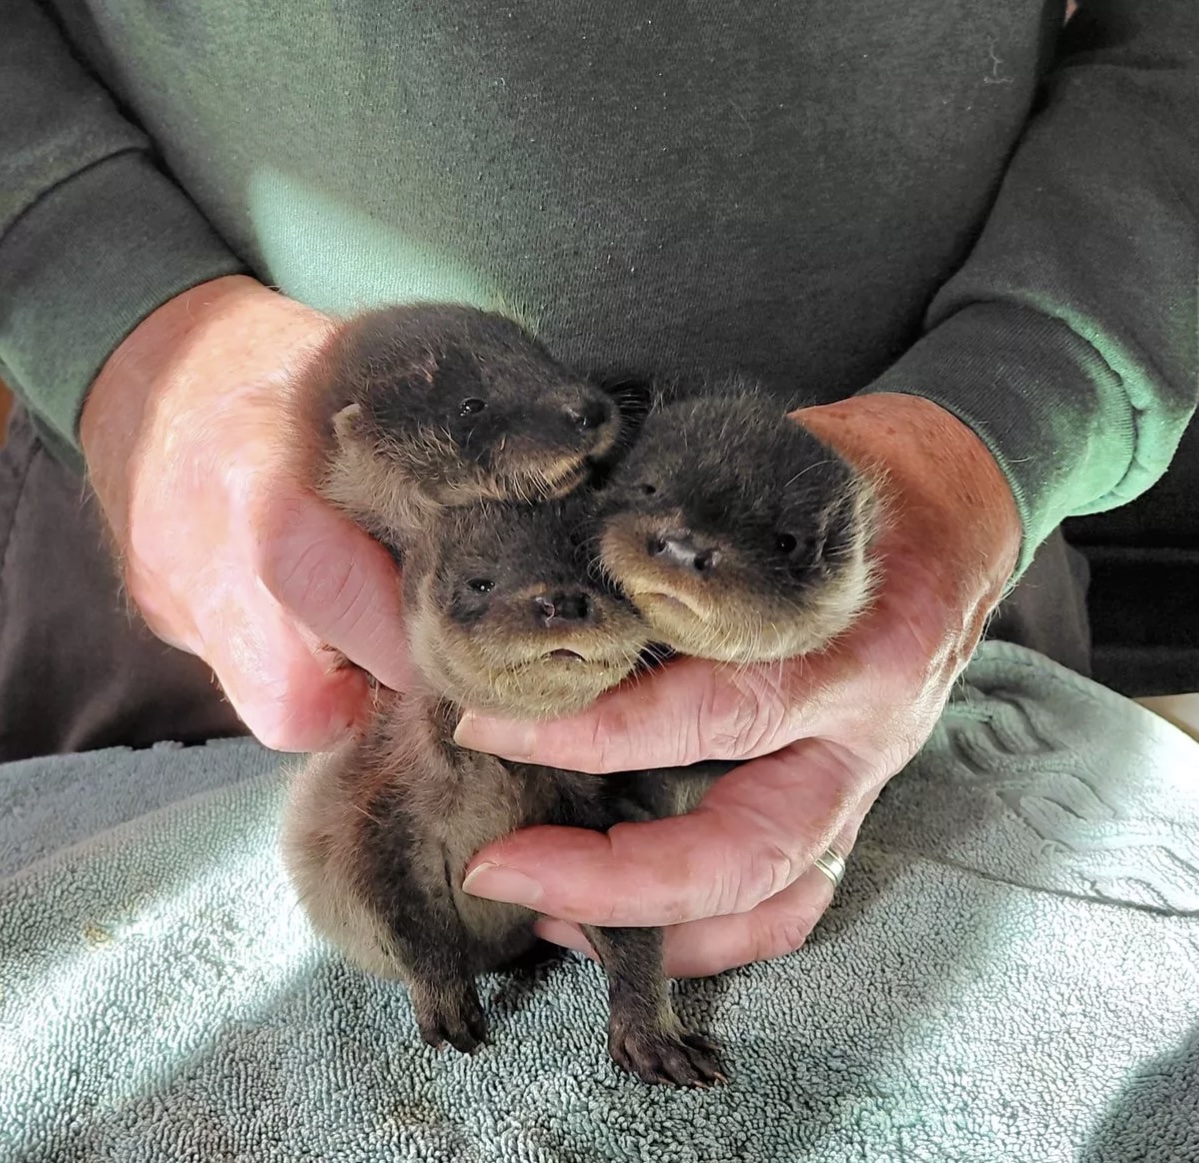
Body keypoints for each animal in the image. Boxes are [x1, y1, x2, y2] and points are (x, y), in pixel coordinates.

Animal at [283, 494, 727, 1088]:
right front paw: (445, 999)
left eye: (603, 573)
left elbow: (631, 928)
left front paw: (651, 1032)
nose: (561, 600)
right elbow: (404, 915)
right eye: (480, 583)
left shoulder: (591, 808)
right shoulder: (378, 815)